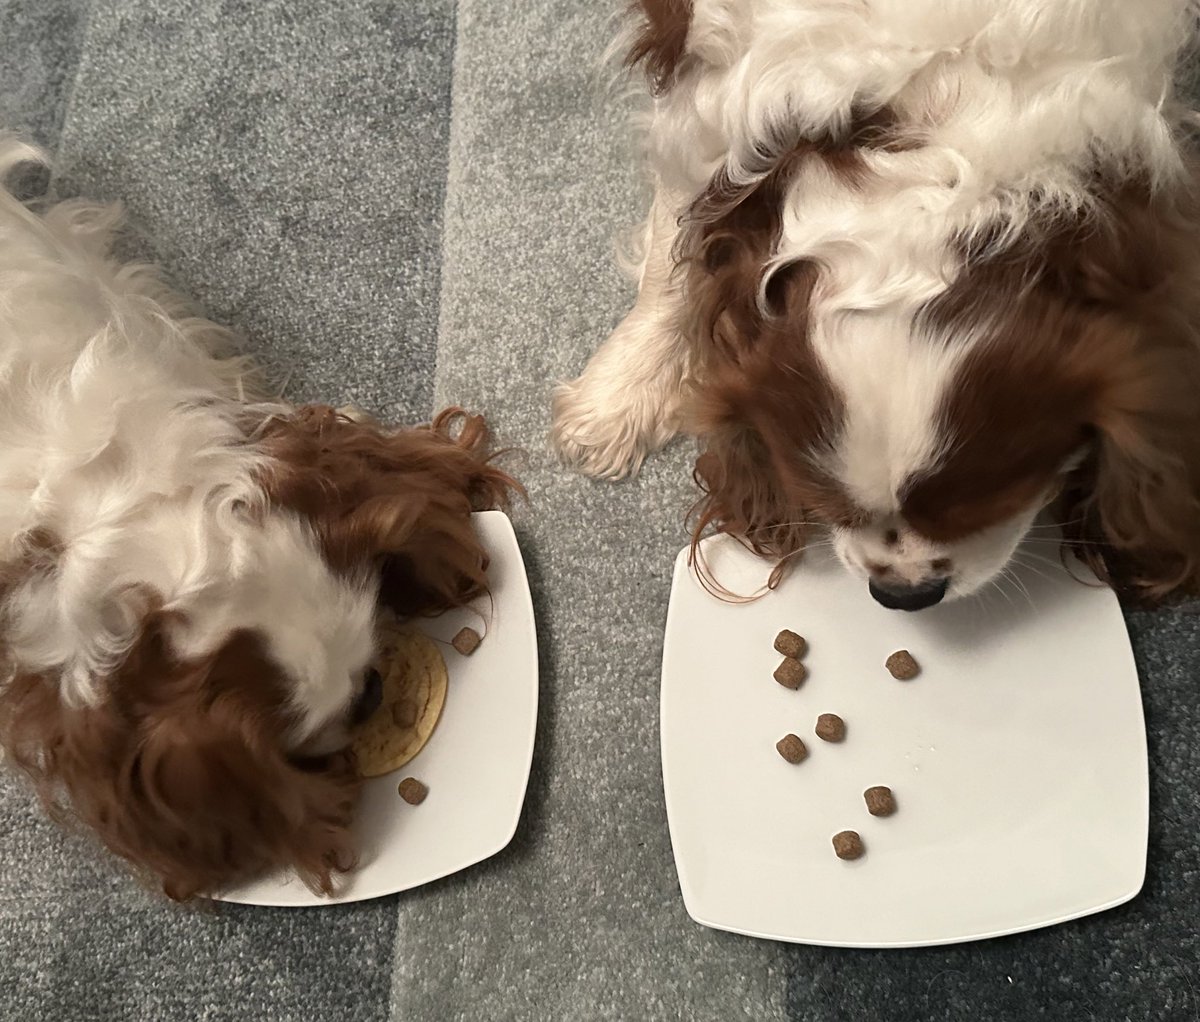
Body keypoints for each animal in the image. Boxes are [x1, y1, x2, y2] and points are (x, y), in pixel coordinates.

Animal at [552, 0, 1200, 606]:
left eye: (997, 505)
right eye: (823, 506)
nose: (904, 595)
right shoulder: (702, 98)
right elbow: (672, 253)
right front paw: (620, 395)